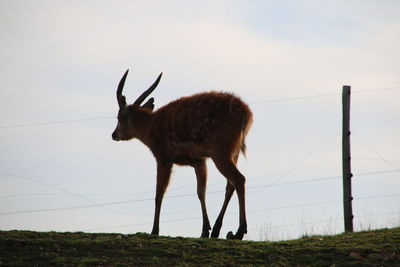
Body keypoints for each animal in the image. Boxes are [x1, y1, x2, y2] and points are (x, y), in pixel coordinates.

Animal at [111, 69, 252, 241]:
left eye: (118, 117)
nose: (114, 134)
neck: (150, 129)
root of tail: (247, 114)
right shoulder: (199, 161)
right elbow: (201, 191)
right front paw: (205, 230)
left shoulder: (163, 156)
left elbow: (159, 193)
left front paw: (154, 230)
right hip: (233, 152)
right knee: (230, 184)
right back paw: (218, 230)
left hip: (221, 150)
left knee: (239, 179)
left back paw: (239, 231)